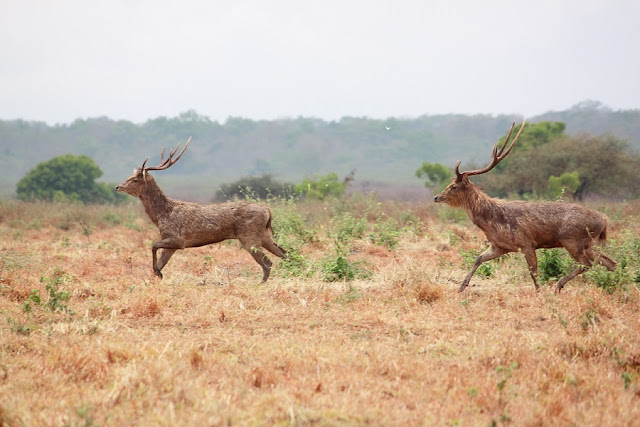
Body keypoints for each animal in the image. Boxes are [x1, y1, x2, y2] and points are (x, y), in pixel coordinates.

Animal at [114, 139, 286, 282]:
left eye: (135, 180)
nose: (117, 187)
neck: (161, 216)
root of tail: (268, 211)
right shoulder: (171, 242)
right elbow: (161, 260)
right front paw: (158, 274)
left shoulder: (178, 239)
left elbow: (153, 246)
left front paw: (157, 272)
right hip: (265, 235)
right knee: (284, 253)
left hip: (249, 236)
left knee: (268, 262)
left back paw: (261, 283)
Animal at [432, 122, 616, 292]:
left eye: (453, 187)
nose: (436, 197)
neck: (492, 222)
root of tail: (604, 220)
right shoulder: (499, 246)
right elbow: (478, 259)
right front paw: (461, 287)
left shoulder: (527, 243)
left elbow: (533, 272)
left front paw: (540, 293)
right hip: (588, 243)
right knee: (610, 262)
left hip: (573, 240)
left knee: (588, 263)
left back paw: (558, 285)